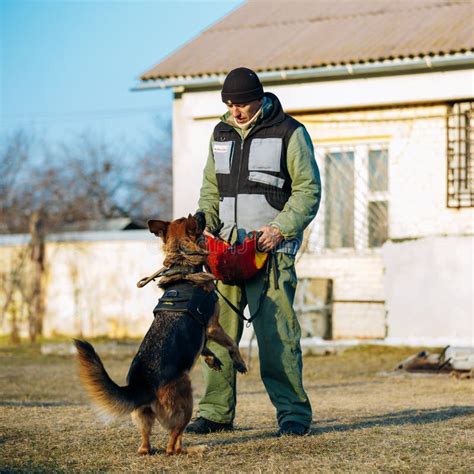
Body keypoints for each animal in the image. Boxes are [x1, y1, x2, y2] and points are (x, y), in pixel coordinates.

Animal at [74, 214, 246, 456]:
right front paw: (239, 363)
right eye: (195, 220)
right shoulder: (212, 326)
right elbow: (231, 344)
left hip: (143, 418)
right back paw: (194, 449)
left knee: (146, 446)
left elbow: (204, 348)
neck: (182, 264)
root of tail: (142, 385)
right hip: (186, 399)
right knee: (172, 446)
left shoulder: (202, 334)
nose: (202, 212)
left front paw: (213, 359)